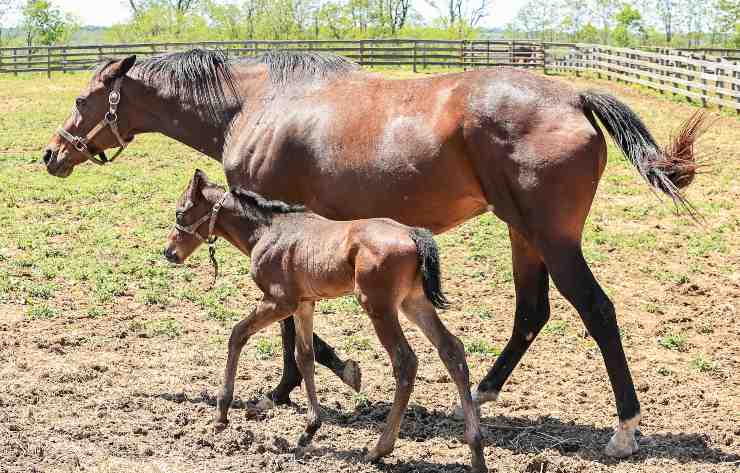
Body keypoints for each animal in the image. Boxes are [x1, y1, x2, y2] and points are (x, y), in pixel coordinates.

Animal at [162, 169, 486, 468]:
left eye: (180, 211)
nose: (169, 252)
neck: (267, 231)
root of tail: (413, 234)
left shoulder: (279, 301)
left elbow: (237, 334)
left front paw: (222, 412)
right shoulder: (305, 304)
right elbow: (304, 355)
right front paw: (309, 430)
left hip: (378, 306)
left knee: (405, 361)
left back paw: (379, 449)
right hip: (413, 302)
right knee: (452, 349)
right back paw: (476, 450)